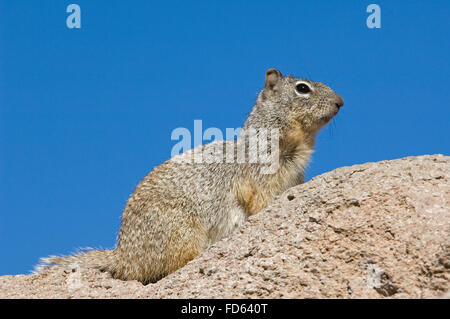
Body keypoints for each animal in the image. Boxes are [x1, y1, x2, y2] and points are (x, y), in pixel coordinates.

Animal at [41, 69, 344, 284]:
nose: (341, 101)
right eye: (302, 88)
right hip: (180, 233)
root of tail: (122, 257)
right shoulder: (260, 177)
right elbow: (261, 201)